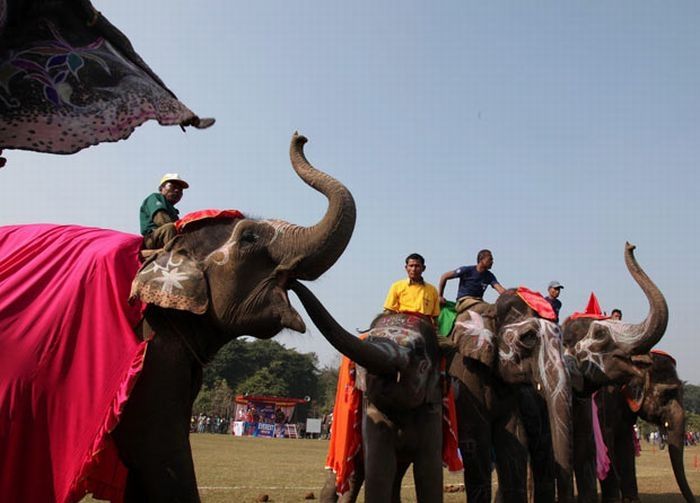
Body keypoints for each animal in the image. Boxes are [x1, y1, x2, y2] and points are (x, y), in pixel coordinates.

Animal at [290, 282, 454, 503]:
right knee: (347, 473)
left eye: (419, 350)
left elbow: (428, 470)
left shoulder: (432, 408)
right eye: (370, 339)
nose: (290, 283)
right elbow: (380, 468)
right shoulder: (371, 410)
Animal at [592, 350, 696, 503]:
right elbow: (606, 440)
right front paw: (613, 500)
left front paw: (632, 500)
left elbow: (625, 442)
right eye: (667, 395)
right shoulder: (604, 397)